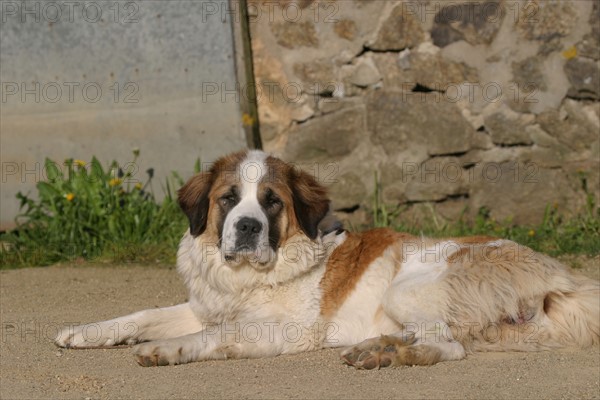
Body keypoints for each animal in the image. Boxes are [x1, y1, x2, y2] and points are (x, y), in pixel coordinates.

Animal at [54, 149, 596, 368]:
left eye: (271, 202)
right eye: (228, 199)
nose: (247, 227)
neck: (252, 275)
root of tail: (560, 277)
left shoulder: (281, 330)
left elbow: (212, 336)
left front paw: (166, 350)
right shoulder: (203, 307)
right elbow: (144, 314)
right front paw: (84, 332)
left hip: (408, 285)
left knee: (450, 345)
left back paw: (389, 354)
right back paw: (379, 347)